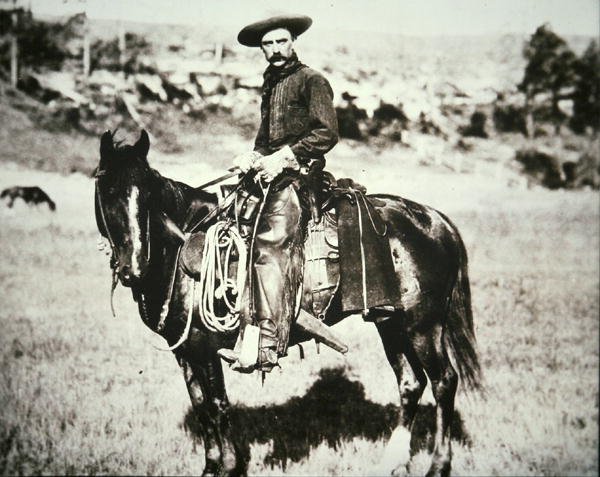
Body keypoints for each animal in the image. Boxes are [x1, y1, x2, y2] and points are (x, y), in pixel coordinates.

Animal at [94, 130, 480, 476]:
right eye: (107, 190)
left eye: (146, 192)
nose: (133, 267)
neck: (180, 246)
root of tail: (435, 220)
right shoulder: (185, 351)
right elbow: (202, 407)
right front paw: (210, 467)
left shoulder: (204, 348)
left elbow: (218, 406)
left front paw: (228, 467)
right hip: (391, 322)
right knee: (411, 383)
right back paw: (393, 463)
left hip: (423, 325)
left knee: (444, 381)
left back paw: (438, 466)